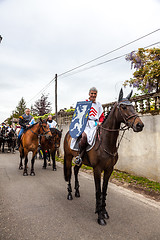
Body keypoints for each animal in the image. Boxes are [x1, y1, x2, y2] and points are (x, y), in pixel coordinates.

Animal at [63, 89, 144, 226]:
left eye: (133, 106)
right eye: (123, 107)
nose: (140, 125)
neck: (106, 142)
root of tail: (68, 133)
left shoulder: (109, 169)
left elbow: (104, 190)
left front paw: (104, 211)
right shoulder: (97, 169)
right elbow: (98, 191)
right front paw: (100, 215)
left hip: (79, 161)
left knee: (75, 170)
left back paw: (77, 191)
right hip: (68, 157)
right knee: (69, 173)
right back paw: (69, 194)